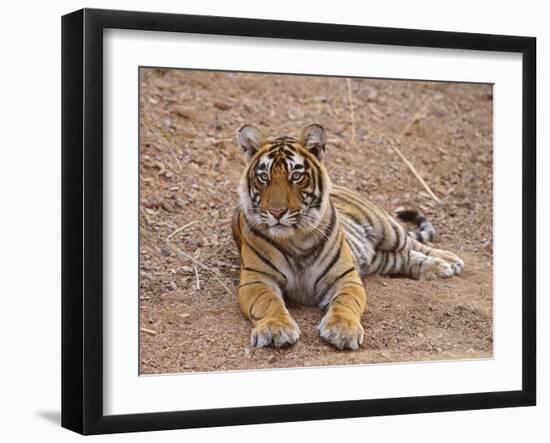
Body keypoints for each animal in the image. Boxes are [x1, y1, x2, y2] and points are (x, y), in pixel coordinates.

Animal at [233, 124, 466, 350]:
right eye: (264, 177)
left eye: (296, 176)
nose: (277, 212)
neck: (295, 238)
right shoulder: (256, 279)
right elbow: (267, 302)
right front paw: (275, 329)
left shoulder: (344, 276)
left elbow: (346, 302)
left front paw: (343, 329)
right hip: (381, 260)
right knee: (405, 257)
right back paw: (438, 267)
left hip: (387, 229)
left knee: (413, 244)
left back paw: (448, 261)